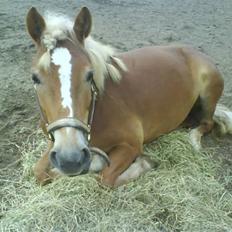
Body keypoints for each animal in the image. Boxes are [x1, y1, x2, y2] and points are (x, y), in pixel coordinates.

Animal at [25, 7, 232, 188]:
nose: (70, 159)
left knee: (207, 123)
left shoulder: (131, 145)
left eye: (90, 75)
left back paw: (194, 139)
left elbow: (104, 178)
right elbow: (39, 172)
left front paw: (142, 163)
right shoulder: (55, 143)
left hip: (208, 92)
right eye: (35, 77)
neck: (98, 111)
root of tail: (195, 51)